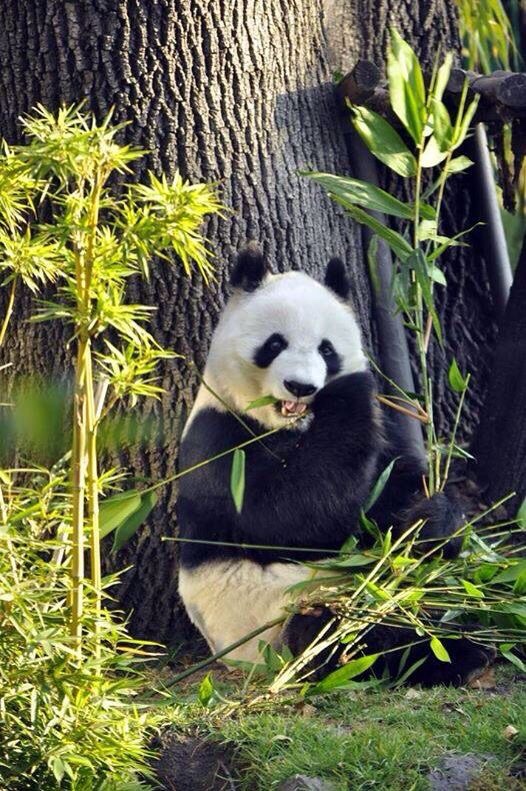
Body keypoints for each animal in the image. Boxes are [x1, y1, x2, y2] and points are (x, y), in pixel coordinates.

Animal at [176, 245, 495, 686]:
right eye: (275, 344)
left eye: (326, 349)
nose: (301, 386)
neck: (292, 424)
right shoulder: (220, 441)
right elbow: (288, 518)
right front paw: (351, 385)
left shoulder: (378, 437)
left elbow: (388, 489)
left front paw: (435, 520)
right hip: (275, 622)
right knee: (343, 636)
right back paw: (450, 654)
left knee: (439, 598)